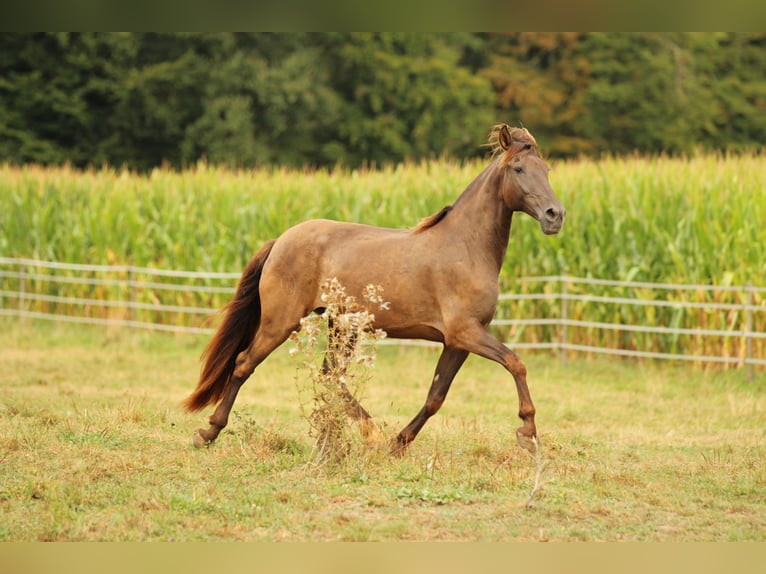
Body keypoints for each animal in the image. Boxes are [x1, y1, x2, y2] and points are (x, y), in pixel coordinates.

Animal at [184, 125, 568, 454]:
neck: (466, 247)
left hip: (341, 325)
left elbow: (436, 396)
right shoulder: (466, 333)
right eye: (518, 168)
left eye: (547, 169)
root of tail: (280, 241)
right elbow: (516, 363)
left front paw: (398, 443)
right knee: (244, 364)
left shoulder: (457, 342)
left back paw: (353, 436)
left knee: (331, 377)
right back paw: (209, 432)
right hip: (281, 322)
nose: (555, 215)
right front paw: (528, 433)